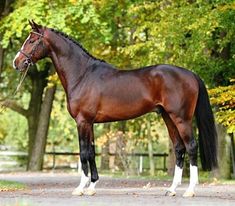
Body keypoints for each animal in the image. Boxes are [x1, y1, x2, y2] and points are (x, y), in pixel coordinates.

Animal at [12, 20, 218, 196]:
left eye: (31, 40)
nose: (16, 62)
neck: (82, 75)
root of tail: (190, 74)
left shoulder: (82, 121)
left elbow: (84, 152)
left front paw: (80, 188)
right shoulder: (90, 123)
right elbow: (91, 152)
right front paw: (92, 187)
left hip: (181, 118)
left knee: (191, 147)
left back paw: (190, 190)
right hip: (168, 117)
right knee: (179, 148)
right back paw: (172, 189)